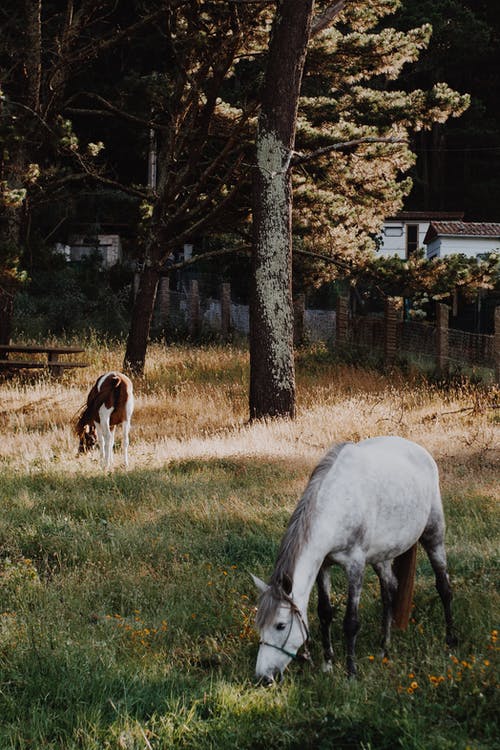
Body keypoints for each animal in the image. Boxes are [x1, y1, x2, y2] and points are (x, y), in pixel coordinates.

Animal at [252, 434, 456, 688]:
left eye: (280, 625)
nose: (263, 678)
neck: (337, 503)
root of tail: (421, 452)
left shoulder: (355, 567)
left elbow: (351, 622)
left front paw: (351, 673)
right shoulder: (324, 565)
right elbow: (324, 613)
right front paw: (328, 664)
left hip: (433, 536)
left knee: (444, 587)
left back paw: (450, 641)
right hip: (382, 556)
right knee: (390, 591)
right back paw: (384, 648)